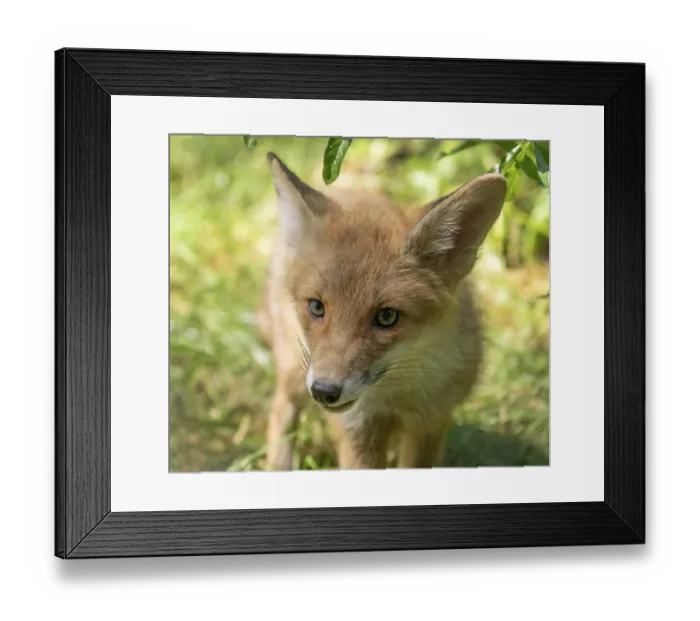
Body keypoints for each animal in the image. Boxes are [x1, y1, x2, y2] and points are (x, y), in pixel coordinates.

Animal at [255, 151, 507, 471]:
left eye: (387, 317)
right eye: (316, 307)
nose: (324, 391)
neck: (399, 397)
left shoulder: (432, 421)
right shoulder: (359, 430)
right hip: (295, 370)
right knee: (280, 410)